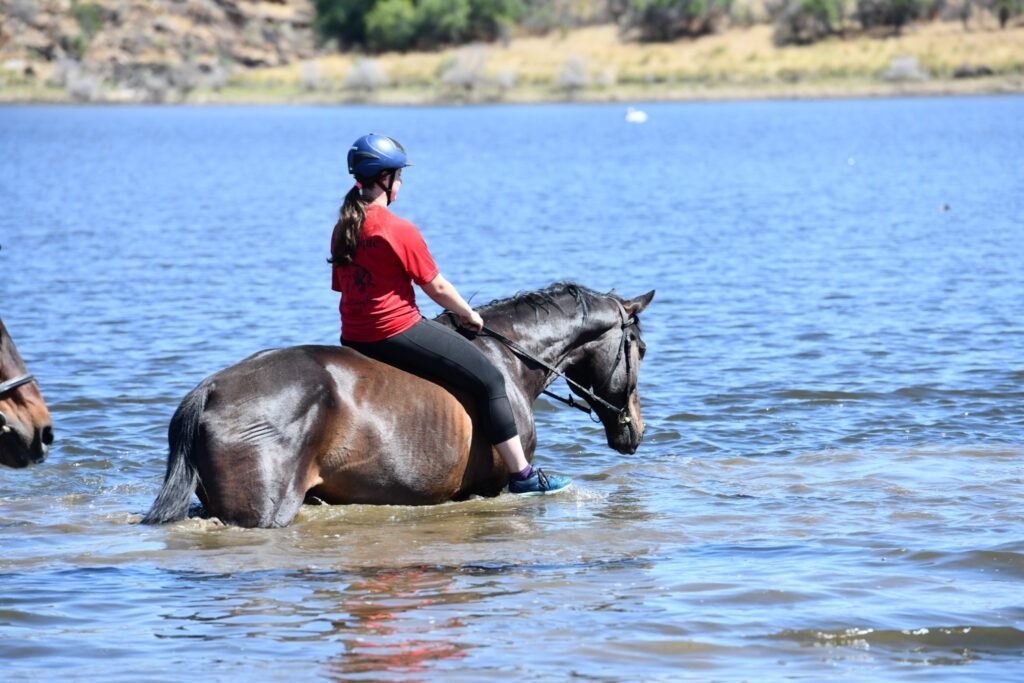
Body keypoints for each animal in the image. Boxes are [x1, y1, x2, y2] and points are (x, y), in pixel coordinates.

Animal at [142, 283, 654, 528]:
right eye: (642, 350)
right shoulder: (494, 488)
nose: (636, 431)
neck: (510, 358)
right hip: (260, 513)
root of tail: (210, 389)